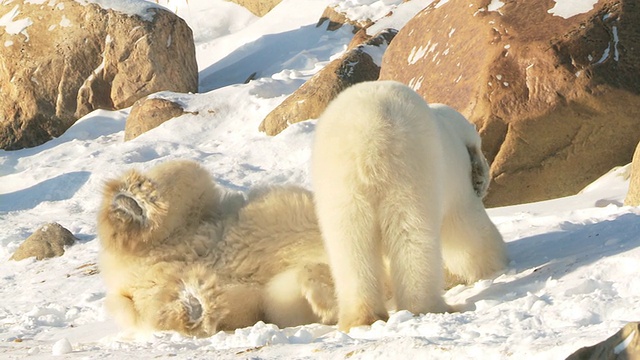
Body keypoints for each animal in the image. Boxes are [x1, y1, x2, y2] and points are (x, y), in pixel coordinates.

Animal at [97, 160, 338, 338]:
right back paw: (134, 200)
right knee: (187, 176)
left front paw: (320, 293)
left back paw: (193, 303)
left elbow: (288, 299)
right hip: (198, 216)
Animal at [312, 81, 508, 332]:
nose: (484, 180)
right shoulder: (456, 183)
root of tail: (369, 140)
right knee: (412, 234)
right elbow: (467, 230)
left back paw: (361, 318)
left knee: (350, 245)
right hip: (410, 170)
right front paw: (495, 263)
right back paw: (427, 306)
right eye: (480, 147)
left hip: (340, 187)